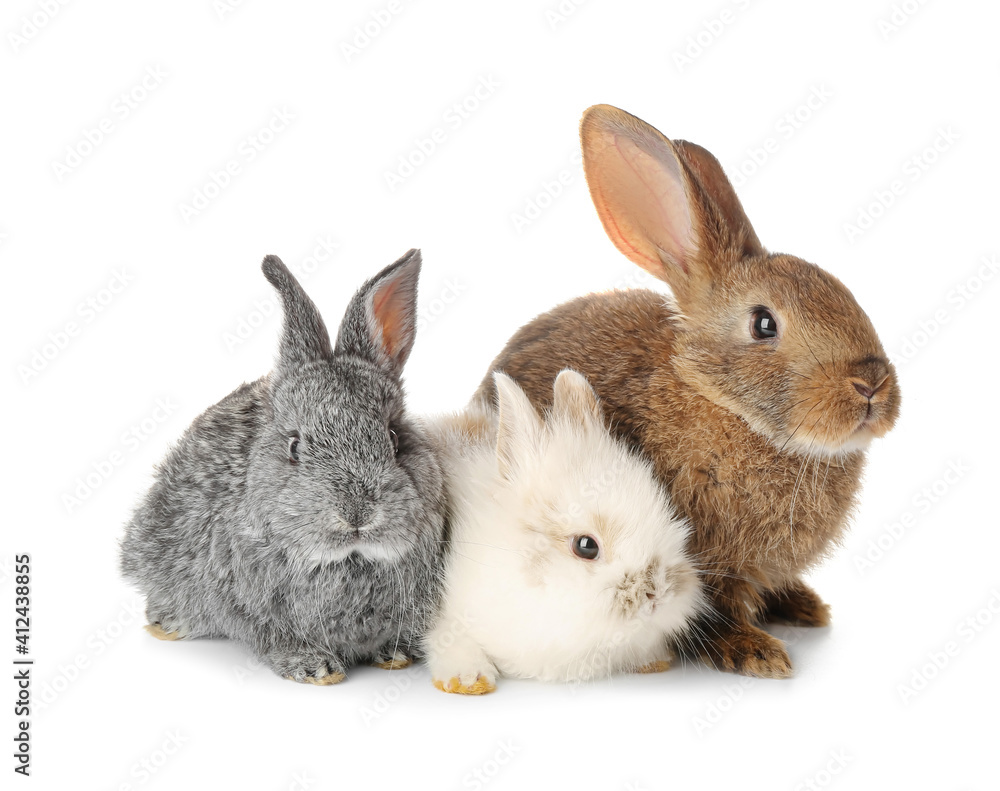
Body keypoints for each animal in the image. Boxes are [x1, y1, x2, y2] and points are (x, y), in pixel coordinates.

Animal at [119, 249, 446, 684]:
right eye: (294, 447)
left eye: (395, 438)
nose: (357, 513)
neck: (350, 558)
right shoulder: (251, 607)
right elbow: (275, 637)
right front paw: (315, 667)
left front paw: (397, 654)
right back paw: (168, 624)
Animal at [473, 105, 901, 679]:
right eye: (764, 324)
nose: (872, 385)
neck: (722, 402)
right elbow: (714, 611)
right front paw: (756, 652)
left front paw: (803, 607)